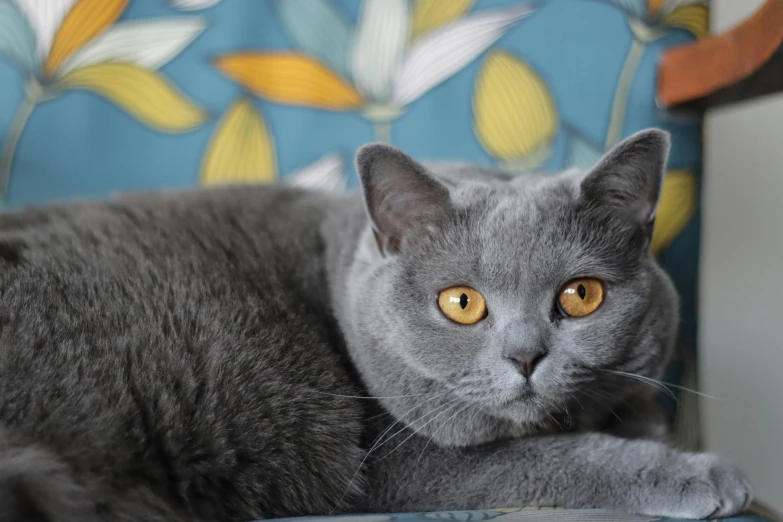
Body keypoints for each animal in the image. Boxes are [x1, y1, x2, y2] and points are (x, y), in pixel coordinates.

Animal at [0, 127, 752, 520]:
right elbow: (560, 458)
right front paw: (707, 475)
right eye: (461, 303)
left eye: (581, 295)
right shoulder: (402, 465)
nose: (525, 356)